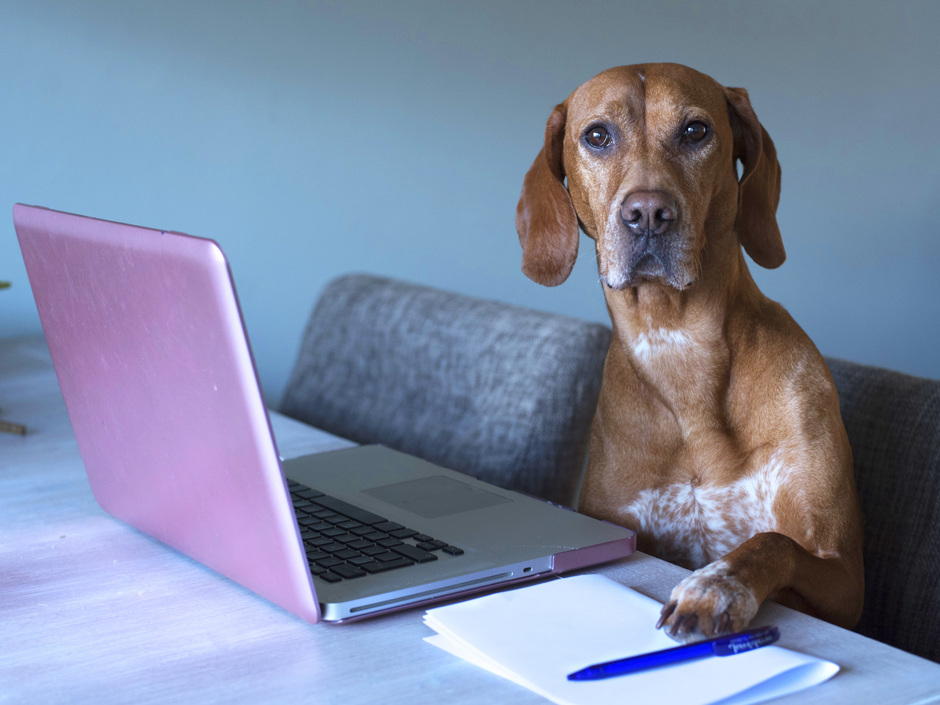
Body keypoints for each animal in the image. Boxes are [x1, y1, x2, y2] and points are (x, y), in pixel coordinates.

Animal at [516, 64, 864, 640]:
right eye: (597, 136)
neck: (678, 345)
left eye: (696, 131)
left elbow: (773, 543)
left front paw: (716, 584)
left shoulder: (843, 577)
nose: (648, 213)